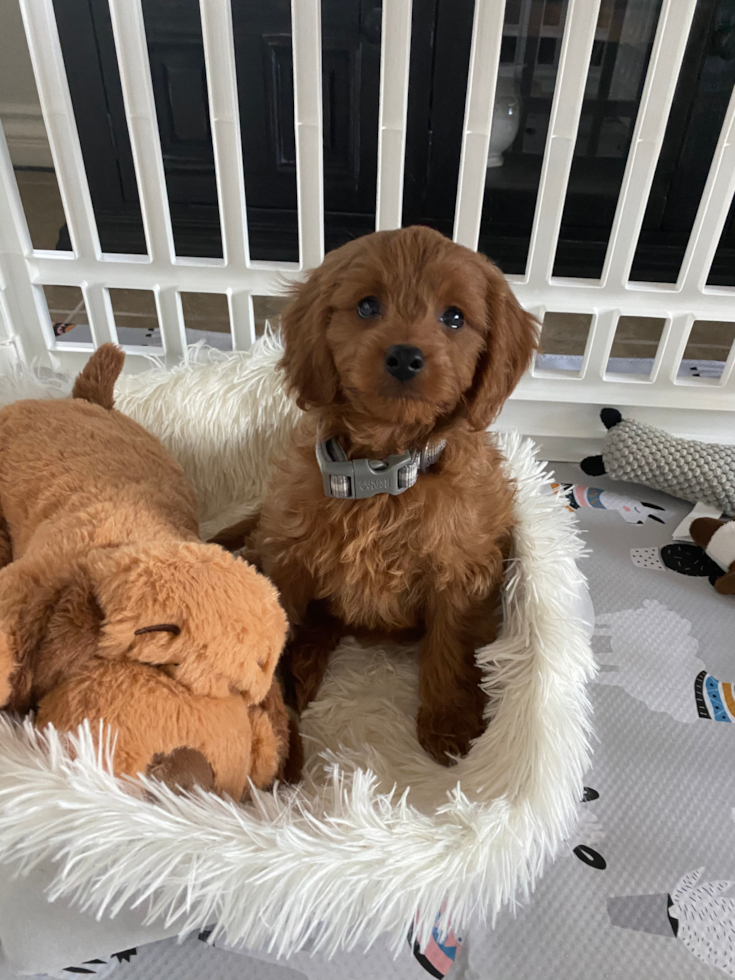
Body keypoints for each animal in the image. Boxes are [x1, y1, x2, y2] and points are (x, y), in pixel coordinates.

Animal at [250, 228, 536, 764]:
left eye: (454, 317)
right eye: (367, 306)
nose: (405, 356)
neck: (382, 471)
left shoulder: (461, 572)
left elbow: (451, 645)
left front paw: (449, 725)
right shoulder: (290, 555)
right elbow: (277, 626)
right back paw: (304, 667)